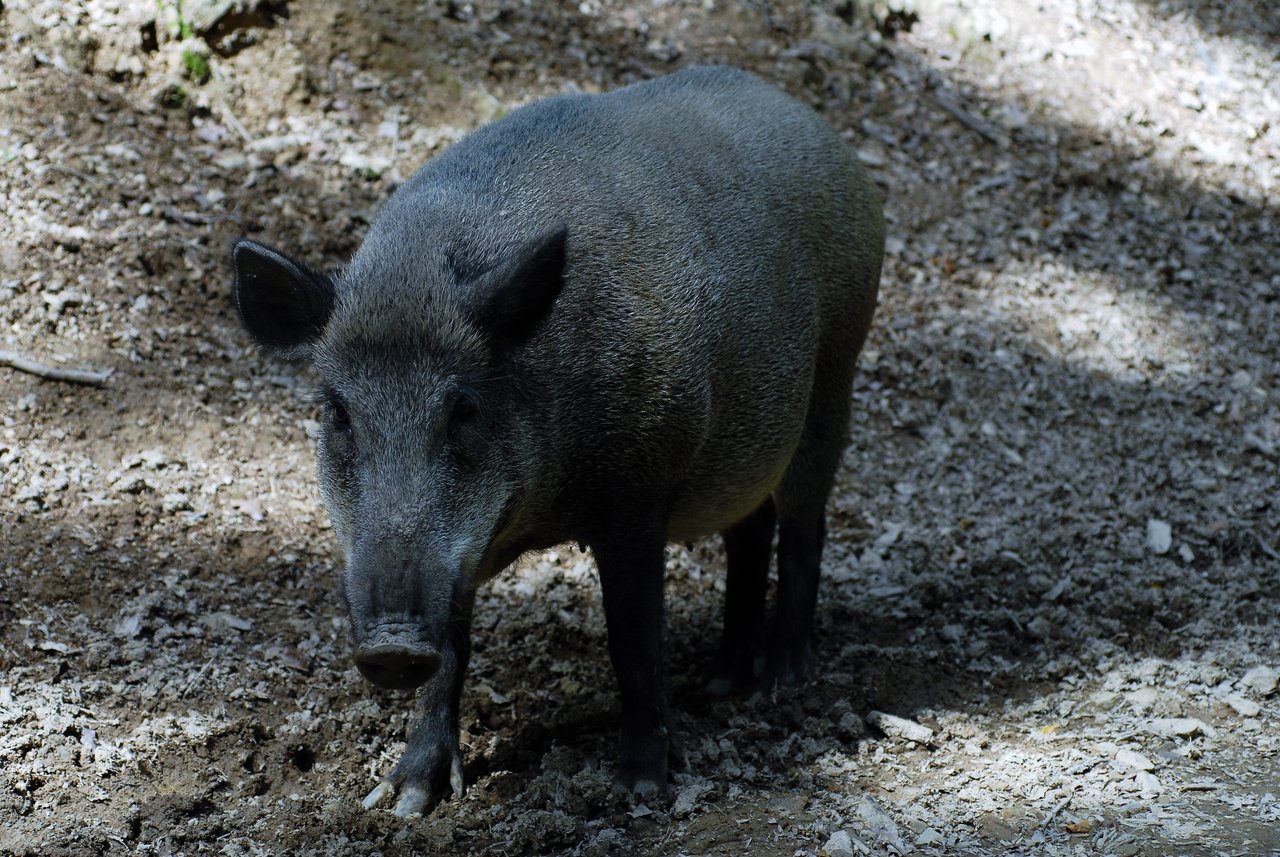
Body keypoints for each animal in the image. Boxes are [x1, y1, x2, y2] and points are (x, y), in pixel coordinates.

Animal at [232, 66, 884, 816]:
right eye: (338, 412)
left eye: (463, 409)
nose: (392, 645)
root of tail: (821, 130)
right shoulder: (459, 553)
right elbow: (453, 650)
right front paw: (404, 801)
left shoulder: (638, 496)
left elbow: (633, 637)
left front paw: (639, 787)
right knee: (750, 533)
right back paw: (723, 684)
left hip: (836, 374)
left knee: (805, 528)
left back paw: (783, 681)